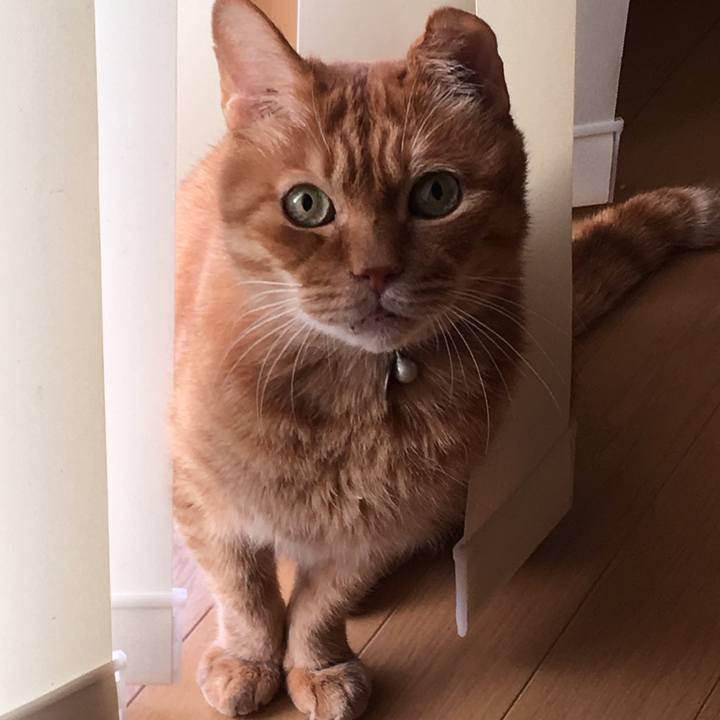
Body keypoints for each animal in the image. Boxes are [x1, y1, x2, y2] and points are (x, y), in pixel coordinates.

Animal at [172, 1, 720, 718]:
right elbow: (244, 593)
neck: (351, 399)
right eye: (306, 204)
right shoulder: (205, 502)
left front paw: (316, 664)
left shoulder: (381, 527)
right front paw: (250, 660)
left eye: (436, 194)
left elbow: (325, 602)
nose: (376, 270)